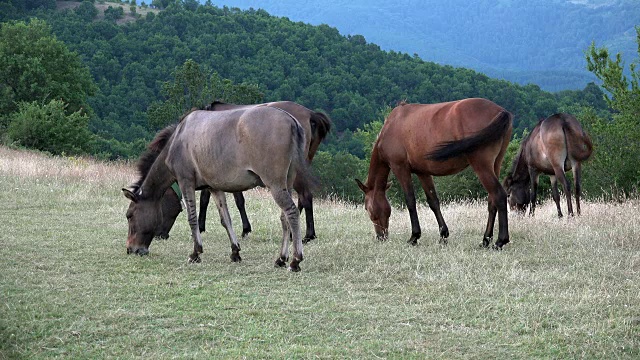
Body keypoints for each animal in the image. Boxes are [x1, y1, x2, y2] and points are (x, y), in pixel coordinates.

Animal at [122, 105, 312, 272]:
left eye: (130, 215)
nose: (131, 249)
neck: (178, 139)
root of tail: (291, 120)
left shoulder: (186, 182)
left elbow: (192, 219)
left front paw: (195, 253)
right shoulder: (214, 188)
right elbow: (226, 219)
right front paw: (235, 251)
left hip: (275, 185)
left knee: (292, 213)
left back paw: (295, 260)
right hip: (286, 184)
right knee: (284, 218)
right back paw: (281, 258)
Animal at [356, 98, 516, 250]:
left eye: (367, 208)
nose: (381, 237)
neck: (392, 125)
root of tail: (501, 111)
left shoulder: (400, 168)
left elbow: (410, 201)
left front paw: (414, 237)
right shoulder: (423, 172)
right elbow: (433, 201)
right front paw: (443, 235)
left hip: (482, 166)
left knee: (499, 195)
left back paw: (500, 241)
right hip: (495, 164)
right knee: (492, 200)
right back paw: (485, 240)